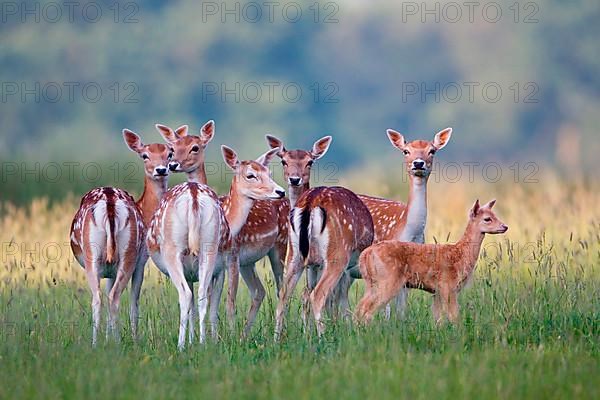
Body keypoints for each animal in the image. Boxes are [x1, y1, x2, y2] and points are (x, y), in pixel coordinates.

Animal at [71, 130, 173, 346]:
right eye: (144, 155)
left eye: (170, 153)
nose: (161, 169)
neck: (145, 212)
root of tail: (110, 202)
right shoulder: (141, 260)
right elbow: (135, 301)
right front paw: (133, 338)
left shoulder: (114, 267)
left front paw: (109, 337)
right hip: (126, 254)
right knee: (112, 297)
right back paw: (114, 343)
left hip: (97, 253)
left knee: (101, 297)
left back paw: (99, 343)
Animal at [274, 186, 372, 340]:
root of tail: (311, 201)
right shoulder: (345, 271)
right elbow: (340, 297)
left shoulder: (316, 266)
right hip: (338, 256)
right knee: (317, 295)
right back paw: (324, 339)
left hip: (295, 256)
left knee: (284, 295)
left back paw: (277, 340)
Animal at [356, 198, 506, 324]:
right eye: (487, 219)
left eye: (495, 215)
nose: (505, 226)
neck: (460, 254)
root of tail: (366, 254)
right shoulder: (448, 286)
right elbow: (454, 317)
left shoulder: (437, 291)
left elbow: (438, 319)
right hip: (388, 280)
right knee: (367, 309)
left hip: (371, 283)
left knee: (360, 307)